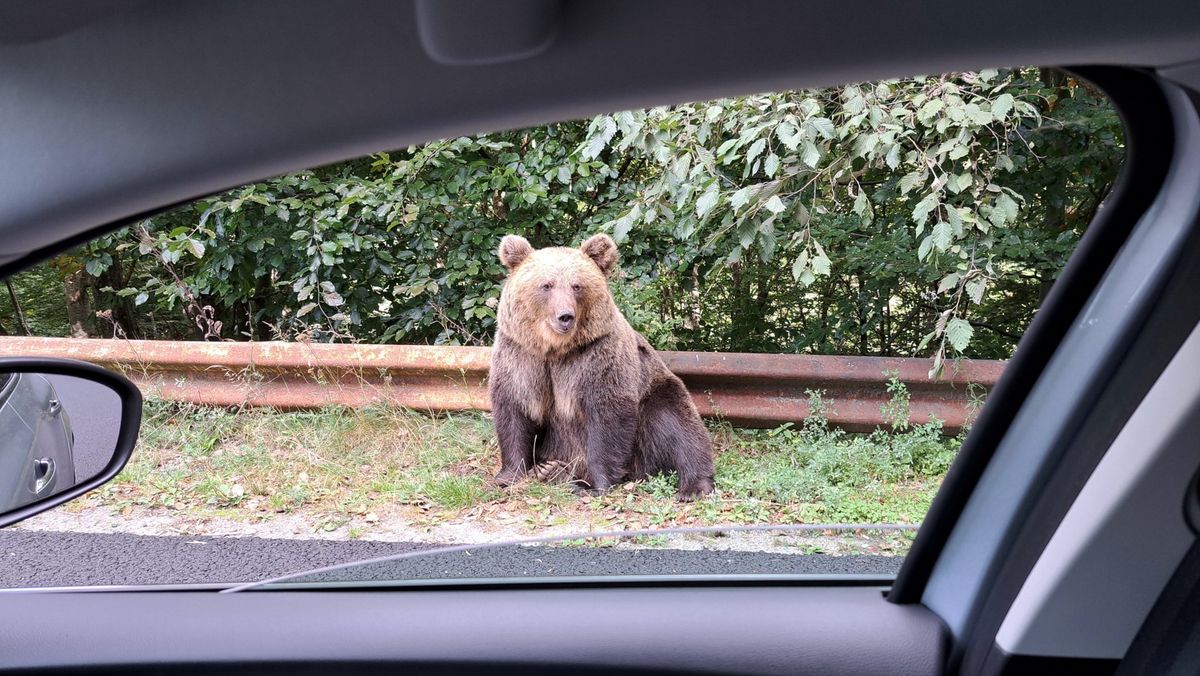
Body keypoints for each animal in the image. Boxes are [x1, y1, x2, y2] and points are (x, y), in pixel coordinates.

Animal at [488, 233, 715, 501]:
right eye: (547, 285)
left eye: (577, 286)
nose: (565, 316)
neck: (556, 349)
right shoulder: (521, 357)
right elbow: (514, 410)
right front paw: (507, 476)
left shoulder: (596, 356)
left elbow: (607, 416)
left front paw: (595, 485)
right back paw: (551, 469)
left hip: (655, 392)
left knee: (677, 425)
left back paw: (693, 486)